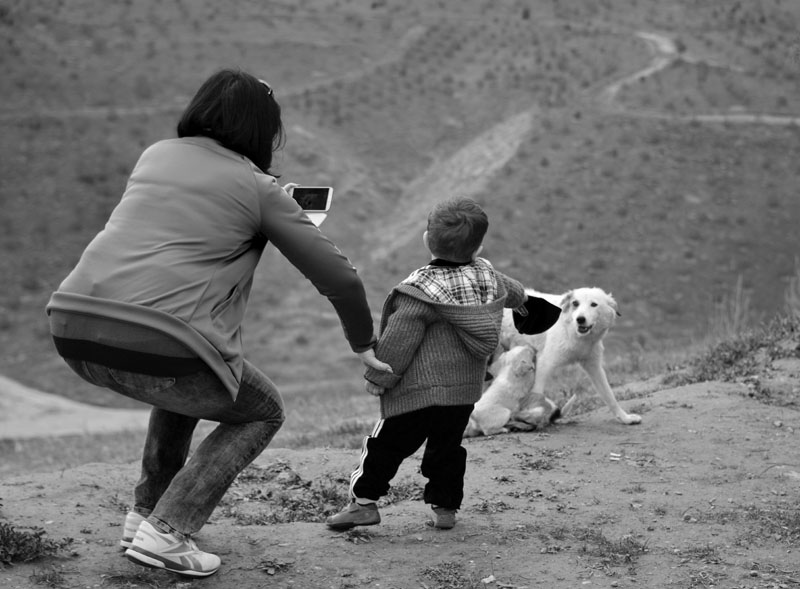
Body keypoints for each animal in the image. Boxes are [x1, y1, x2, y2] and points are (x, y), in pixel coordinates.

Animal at [504, 288, 640, 424]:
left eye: (593, 304)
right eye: (575, 303)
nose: (580, 319)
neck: (572, 331)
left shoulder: (594, 367)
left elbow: (610, 396)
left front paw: (625, 418)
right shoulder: (544, 365)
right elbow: (536, 394)